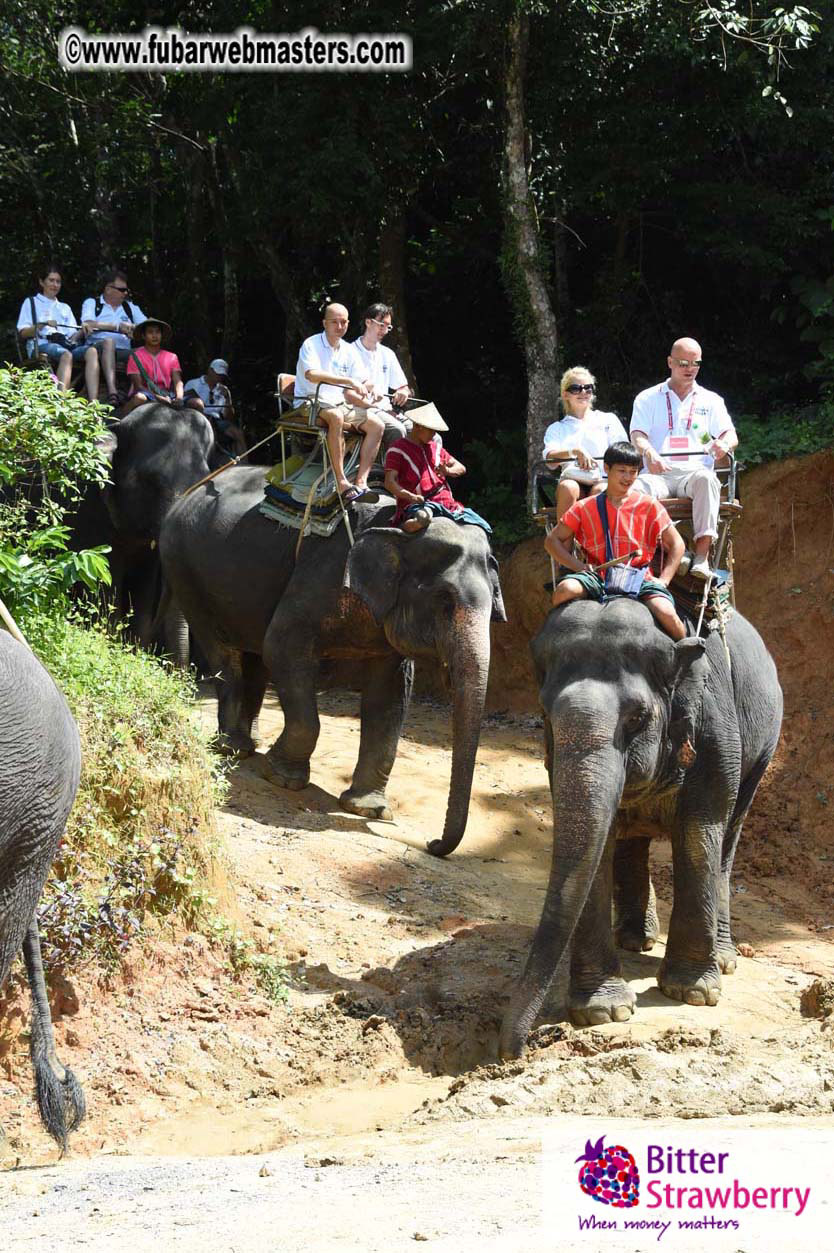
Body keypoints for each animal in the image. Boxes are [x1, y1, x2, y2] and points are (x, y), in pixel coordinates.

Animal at [158, 467, 505, 855]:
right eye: (445, 600)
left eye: (494, 601)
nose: (431, 843)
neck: (400, 528)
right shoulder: (319, 578)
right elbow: (281, 647)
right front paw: (282, 778)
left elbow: (390, 696)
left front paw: (367, 808)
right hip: (185, 570)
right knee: (226, 652)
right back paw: (234, 748)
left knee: (254, 659)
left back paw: (251, 741)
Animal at [499, 596, 782, 1059]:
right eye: (544, 716)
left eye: (636, 718)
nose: (512, 1052)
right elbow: (597, 845)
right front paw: (604, 1012)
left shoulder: (715, 733)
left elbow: (698, 836)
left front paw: (692, 994)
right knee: (632, 842)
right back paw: (635, 940)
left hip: (763, 749)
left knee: (727, 839)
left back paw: (723, 959)